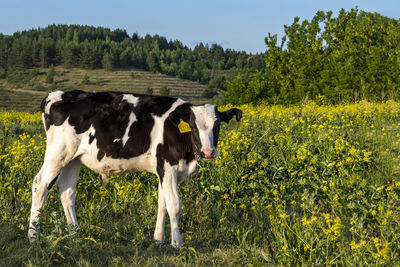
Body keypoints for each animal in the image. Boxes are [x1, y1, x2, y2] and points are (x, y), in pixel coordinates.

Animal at [28, 90, 242, 249]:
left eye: (217, 125)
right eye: (193, 125)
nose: (208, 152)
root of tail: (56, 95)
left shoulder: (163, 171)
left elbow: (162, 203)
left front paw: (158, 239)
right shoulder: (167, 166)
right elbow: (174, 205)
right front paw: (177, 243)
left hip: (73, 158)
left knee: (66, 190)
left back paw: (75, 233)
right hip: (58, 152)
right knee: (40, 185)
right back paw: (33, 236)